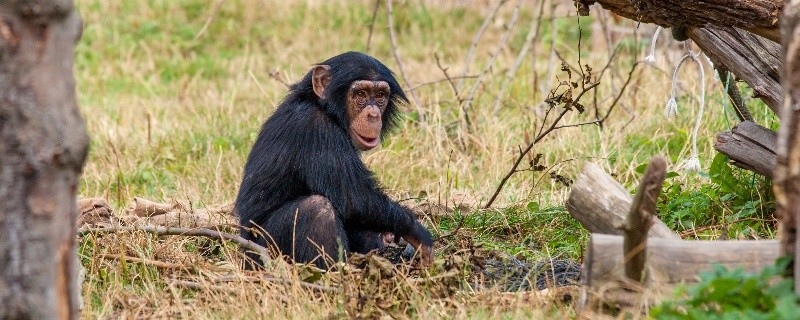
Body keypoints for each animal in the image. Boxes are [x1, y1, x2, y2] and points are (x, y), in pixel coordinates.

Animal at [234, 51, 434, 268]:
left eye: (380, 95)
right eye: (361, 94)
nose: (373, 114)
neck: (326, 110)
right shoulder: (318, 131)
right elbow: (355, 198)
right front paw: (417, 232)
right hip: (263, 255)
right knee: (317, 209)